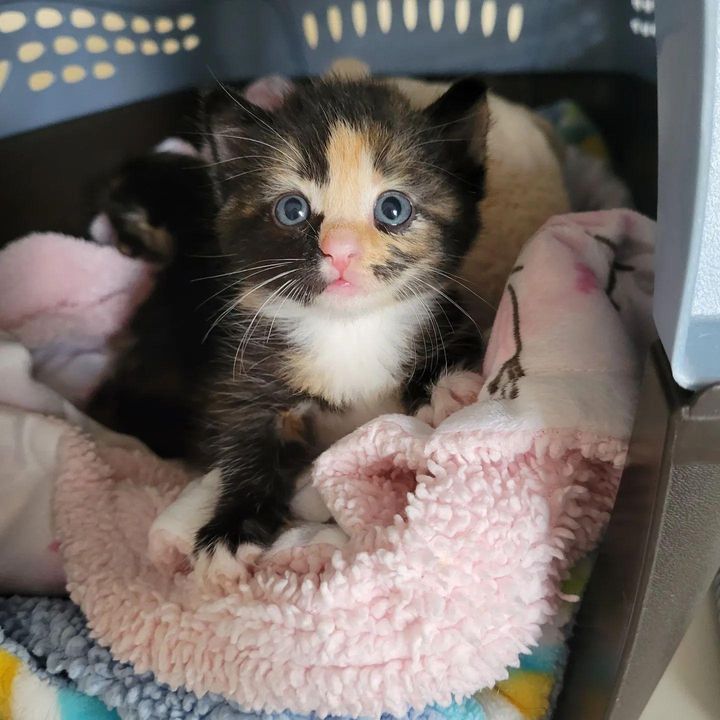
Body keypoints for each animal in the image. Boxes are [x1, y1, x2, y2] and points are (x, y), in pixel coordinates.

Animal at [91, 76, 490, 556]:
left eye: (393, 208)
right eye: (292, 209)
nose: (340, 250)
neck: (348, 329)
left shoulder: (447, 309)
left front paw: (445, 383)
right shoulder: (245, 371)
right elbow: (245, 438)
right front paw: (230, 533)